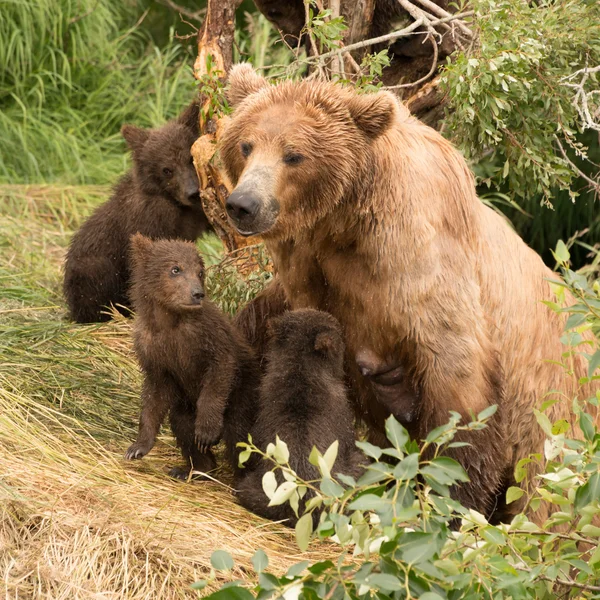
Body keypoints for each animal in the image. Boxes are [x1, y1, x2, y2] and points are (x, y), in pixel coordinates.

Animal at [63, 105, 211, 326]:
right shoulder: (152, 221)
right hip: (92, 268)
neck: (176, 205)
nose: (192, 193)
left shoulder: (195, 215)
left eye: (190, 158)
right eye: (167, 169)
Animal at [125, 233, 258, 478]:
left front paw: (206, 432)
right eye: (175, 269)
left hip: (243, 393)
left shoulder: (207, 335)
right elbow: (154, 396)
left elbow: (220, 369)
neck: (170, 319)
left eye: (200, 272)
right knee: (182, 424)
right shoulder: (151, 349)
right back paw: (194, 468)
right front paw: (138, 447)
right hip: (186, 404)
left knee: (240, 434)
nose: (197, 293)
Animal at [219, 65, 596, 524]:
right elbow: (256, 332)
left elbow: (459, 390)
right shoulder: (310, 277)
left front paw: (452, 496)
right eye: (246, 144)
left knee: (546, 496)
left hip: (556, 424)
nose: (243, 204)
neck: (344, 225)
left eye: (294, 154)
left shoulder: (422, 273)